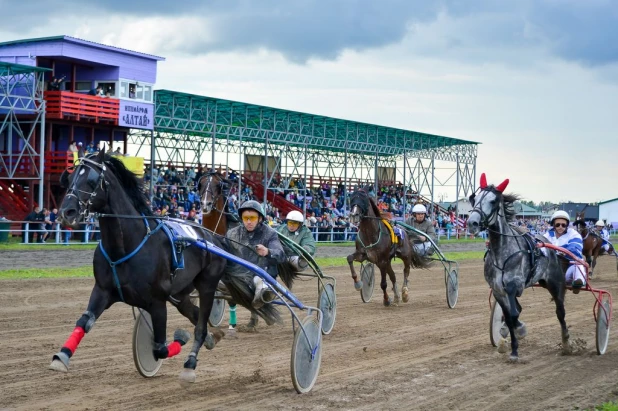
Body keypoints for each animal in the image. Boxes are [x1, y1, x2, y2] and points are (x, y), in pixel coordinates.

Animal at [48, 150, 226, 384]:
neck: (126, 246)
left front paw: (180, 337)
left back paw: (190, 363)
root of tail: (212, 237)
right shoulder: (103, 290)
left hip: (207, 285)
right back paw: (214, 337)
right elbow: (84, 321)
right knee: (196, 315)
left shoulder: (157, 301)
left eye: (92, 180)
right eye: (69, 179)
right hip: (180, 294)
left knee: (201, 325)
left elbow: (159, 348)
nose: (66, 213)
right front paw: (61, 356)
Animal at [466, 174, 568, 360]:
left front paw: (516, 339)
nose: (472, 223)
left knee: (560, 311)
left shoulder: (514, 285)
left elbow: (513, 315)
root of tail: (549, 245)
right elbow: (509, 315)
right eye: (474, 199)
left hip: (555, 283)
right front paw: (511, 343)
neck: (502, 253)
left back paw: (566, 344)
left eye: (493, 201)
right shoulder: (499, 290)